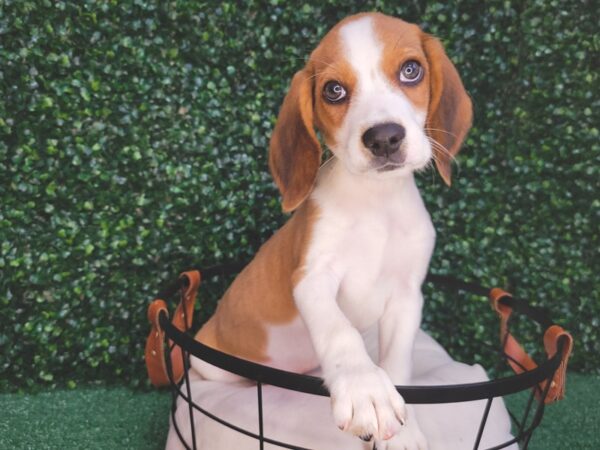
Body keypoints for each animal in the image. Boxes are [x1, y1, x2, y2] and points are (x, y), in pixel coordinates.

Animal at [192, 11, 474, 450]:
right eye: (334, 90)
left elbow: (398, 366)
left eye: (411, 70)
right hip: (211, 365)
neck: (375, 202)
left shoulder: (407, 298)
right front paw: (365, 391)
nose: (384, 137)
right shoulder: (312, 279)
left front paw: (404, 430)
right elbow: (341, 332)